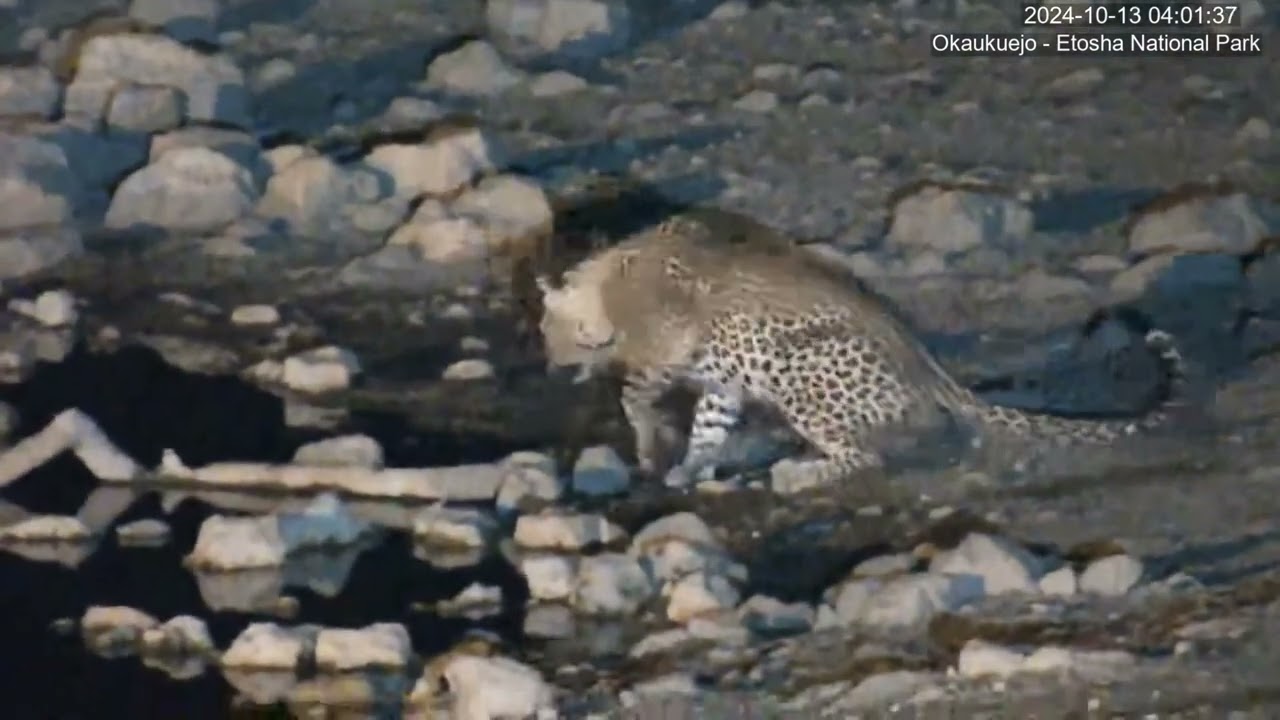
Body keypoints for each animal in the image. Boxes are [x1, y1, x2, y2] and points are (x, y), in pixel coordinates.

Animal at [537, 213, 1191, 488]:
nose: (549, 364)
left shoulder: (662, 353)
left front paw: (652, 451)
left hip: (804, 371)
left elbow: (634, 396)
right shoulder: (722, 384)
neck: (608, 282)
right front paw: (691, 468)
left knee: (869, 454)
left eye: (547, 332)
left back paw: (798, 474)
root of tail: (931, 370)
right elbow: (707, 428)